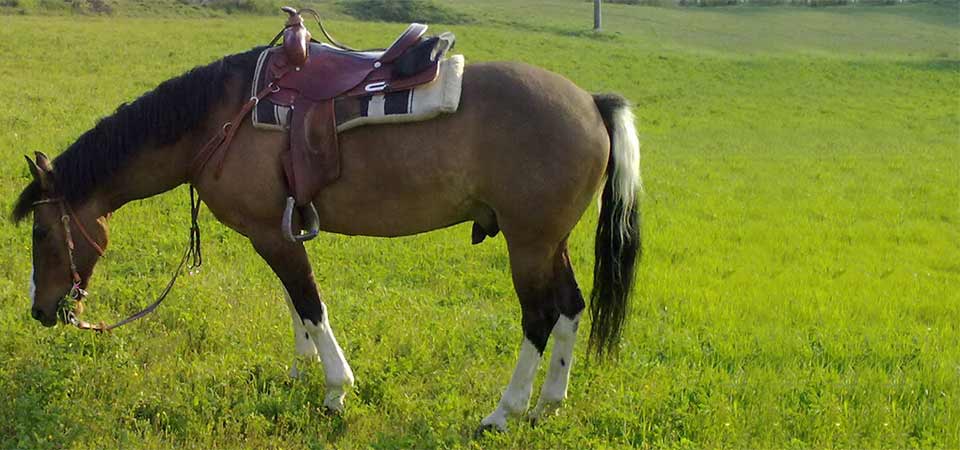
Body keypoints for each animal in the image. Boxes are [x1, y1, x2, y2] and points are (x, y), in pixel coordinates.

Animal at [11, 45, 640, 432]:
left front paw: (336, 389)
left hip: (527, 243)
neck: (220, 118)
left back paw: (503, 413)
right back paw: (548, 406)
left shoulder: (273, 235)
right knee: (571, 308)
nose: (41, 311)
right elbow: (296, 304)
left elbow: (310, 303)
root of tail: (590, 102)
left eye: (42, 230)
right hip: (550, 240)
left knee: (539, 317)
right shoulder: (281, 231)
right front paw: (300, 369)